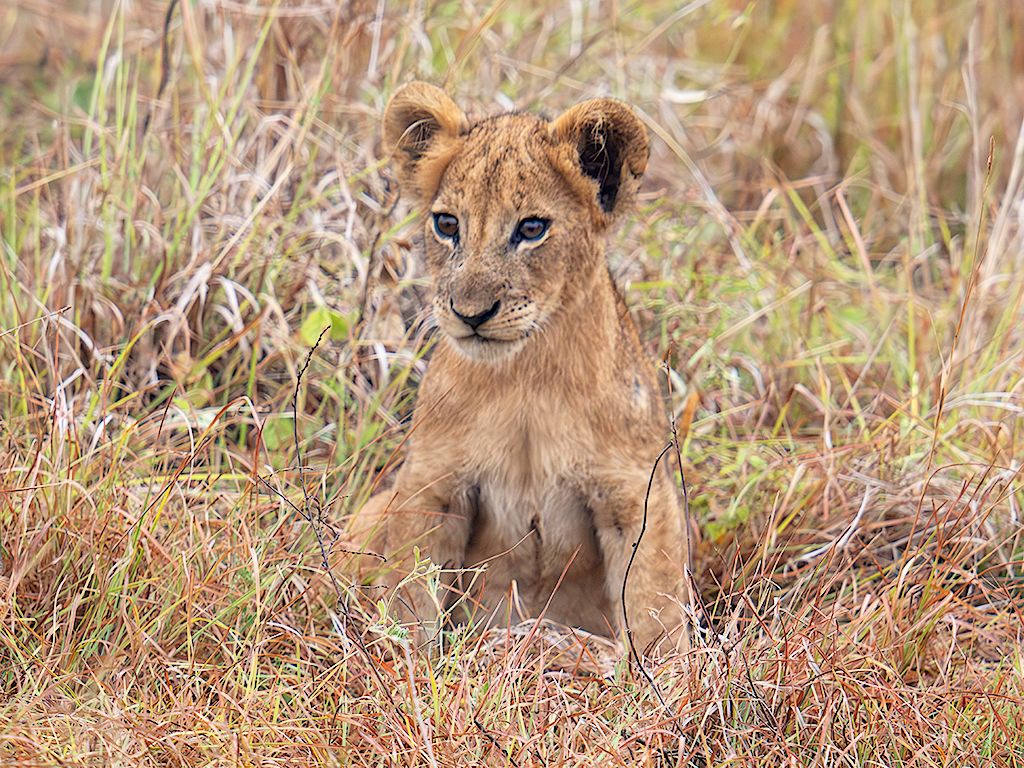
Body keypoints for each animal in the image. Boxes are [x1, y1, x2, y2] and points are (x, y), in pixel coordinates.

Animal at [347, 82, 691, 655]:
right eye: (447, 224)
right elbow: (411, 590)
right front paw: (407, 661)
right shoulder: (430, 484)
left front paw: (661, 676)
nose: (470, 313)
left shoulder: (638, 494)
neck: (526, 378)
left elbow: (652, 608)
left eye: (531, 228)